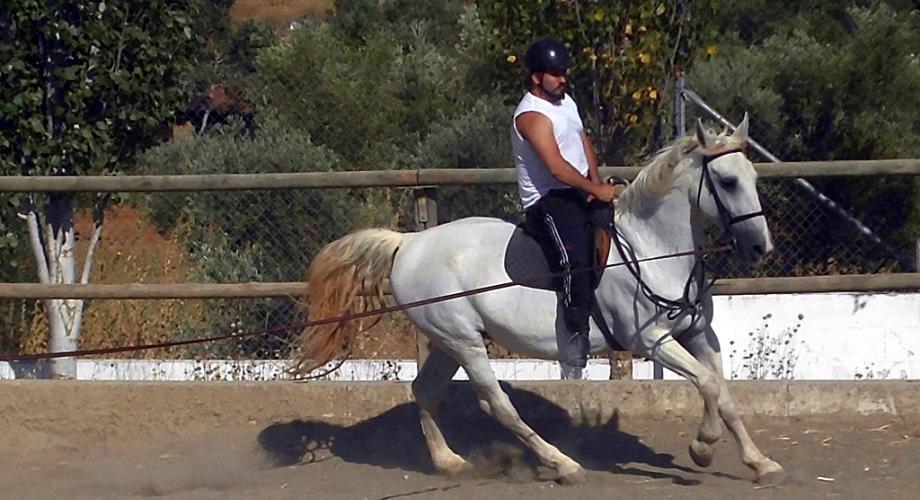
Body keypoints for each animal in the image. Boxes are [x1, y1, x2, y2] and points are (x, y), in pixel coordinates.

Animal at [294, 116, 784, 484]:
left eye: (754, 177)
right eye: (726, 181)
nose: (761, 247)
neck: (651, 248)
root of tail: (408, 243)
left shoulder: (698, 333)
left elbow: (723, 392)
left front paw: (758, 462)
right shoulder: (651, 340)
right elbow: (707, 385)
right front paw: (703, 447)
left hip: (448, 342)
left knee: (425, 391)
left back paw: (449, 463)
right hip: (465, 343)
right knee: (497, 404)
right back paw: (563, 465)